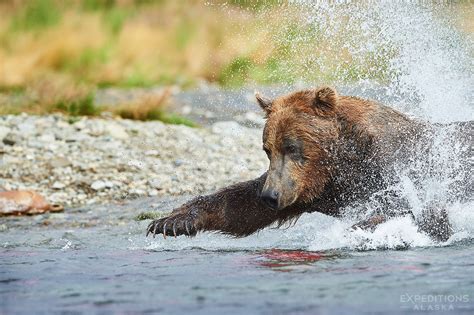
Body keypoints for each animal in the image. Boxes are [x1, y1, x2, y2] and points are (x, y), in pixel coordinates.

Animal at [146, 86, 472, 242]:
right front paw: (171, 221)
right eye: (267, 149)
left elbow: (413, 208)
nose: (270, 195)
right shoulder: (311, 189)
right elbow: (241, 206)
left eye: (292, 147)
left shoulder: (394, 163)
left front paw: (359, 228)